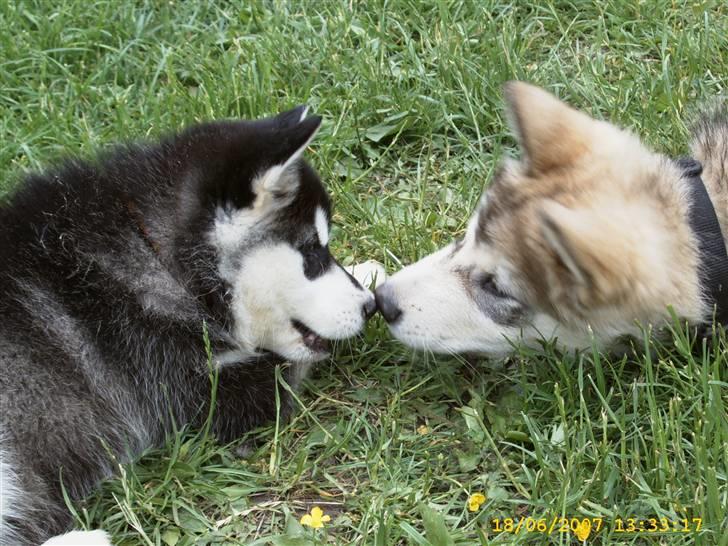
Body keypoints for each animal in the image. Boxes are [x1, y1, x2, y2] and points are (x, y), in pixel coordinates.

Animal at [1, 104, 382, 540]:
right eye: (312, 251)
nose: (370, 307)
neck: (158, 256)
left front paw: (375, 273)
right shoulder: (185, 383)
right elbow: (283, 364)